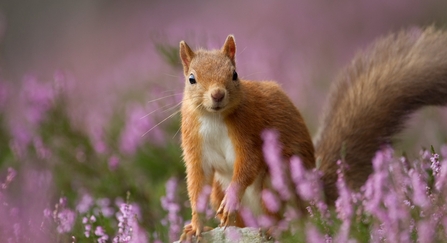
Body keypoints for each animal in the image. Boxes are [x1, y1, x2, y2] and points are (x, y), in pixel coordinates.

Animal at [178, 27, 447, 241]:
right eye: (191, 79)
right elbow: (197, 182)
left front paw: (231, 200)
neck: (214, 119)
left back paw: (275, 229)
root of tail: (313, 196)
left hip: (278, 180)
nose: (217, 94)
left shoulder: (250, 131)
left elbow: (249, 163)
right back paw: (224, 228)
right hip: (220, 190)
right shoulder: (194, 145)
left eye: (234, 74)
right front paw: (196, 225)